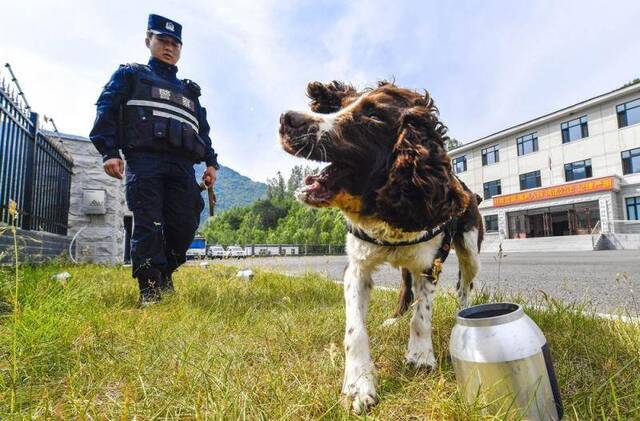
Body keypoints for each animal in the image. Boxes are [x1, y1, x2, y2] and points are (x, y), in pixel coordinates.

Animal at [278, 80, 482, 412]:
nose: (287, 119)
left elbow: (422, 316)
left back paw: (463, 314)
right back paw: (393, 319)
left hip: (470, 249)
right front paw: (358, 384)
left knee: (465, 287)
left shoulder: (430, 265)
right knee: (405, 288)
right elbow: (355, 330)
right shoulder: (356, 268)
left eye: (373, 117)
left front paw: (421, 356)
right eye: (339, 105)